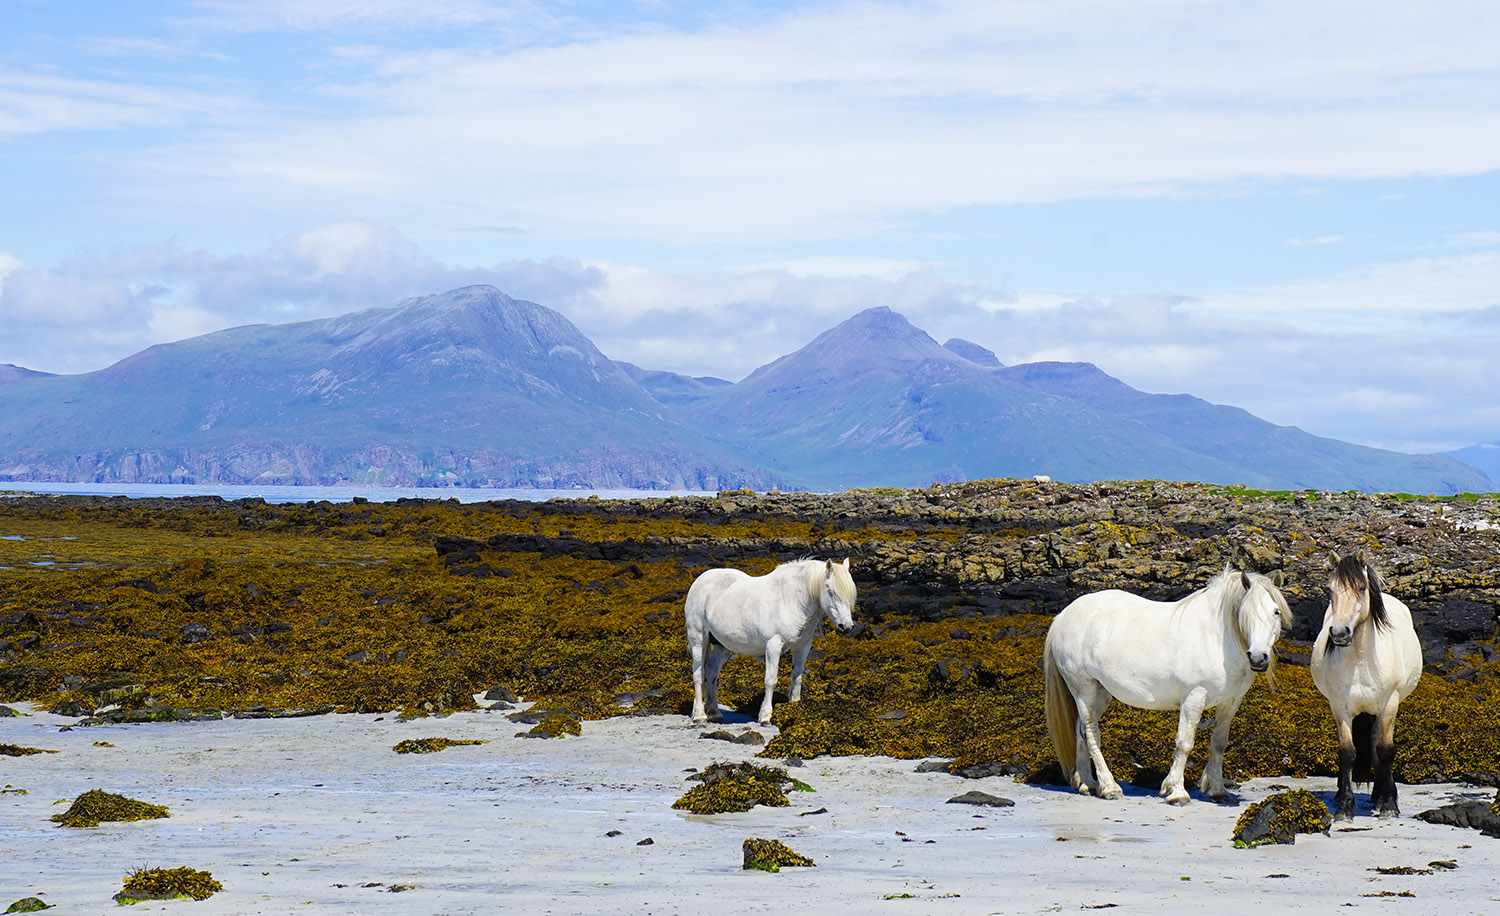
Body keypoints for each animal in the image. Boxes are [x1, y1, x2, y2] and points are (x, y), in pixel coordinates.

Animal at [684, 554, 858, 728]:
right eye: (831, 591)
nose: (846, 627)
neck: (792, 600)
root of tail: (700, 580)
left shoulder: (803, 647)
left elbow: (797, 677)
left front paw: (795, 707)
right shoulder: (773, 646)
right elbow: (771, 681)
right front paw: (766, 716)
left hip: (722, 647)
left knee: (711, 672)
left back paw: (714, 713)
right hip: (699, 639)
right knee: (699, 674)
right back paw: (699, 715)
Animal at [1044, 569, 1290, 803]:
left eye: (1276, 612)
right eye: (1245, 613)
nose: (1258, 658)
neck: (1217, 638)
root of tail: (1062, 616)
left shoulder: (1230, 702)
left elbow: (1219, 743)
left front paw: (1218, 791)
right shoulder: (1194, 697)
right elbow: (1185, 743)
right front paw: (1177, 792)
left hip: (1100, 692)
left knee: (1080, 730)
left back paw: (1087, 783)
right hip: (1083, 689)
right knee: (1091, 732)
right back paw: (1109, 787)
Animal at [1314, 554, 1416, 821]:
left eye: (1361, 588)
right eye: (1330, 590)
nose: (1339, 632)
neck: (1361, 660)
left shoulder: (1389, 703)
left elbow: (1385, 750)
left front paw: (1388, 805)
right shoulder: (1340, 707)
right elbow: (1347, 753)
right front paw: (1344, 806)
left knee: (1376, 744)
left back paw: (1381, 796)